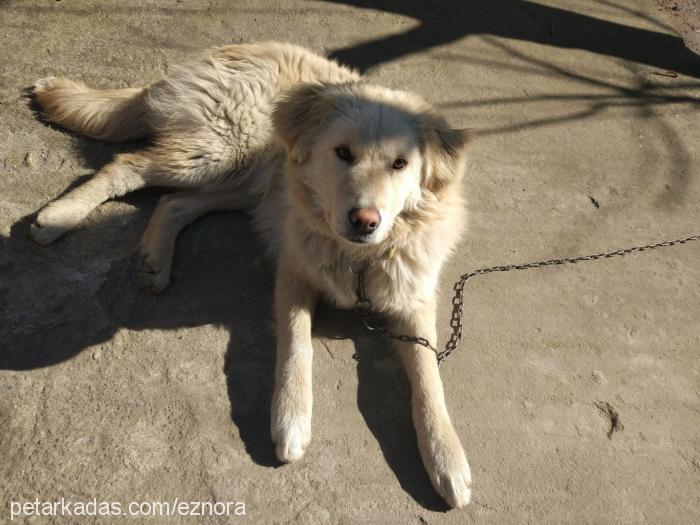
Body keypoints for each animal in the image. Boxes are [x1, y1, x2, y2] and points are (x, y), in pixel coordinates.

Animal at [30, 41, 474, 508]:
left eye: (400, 164)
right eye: (343, 153)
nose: (364, 221)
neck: (356, 257)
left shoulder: (414, 299)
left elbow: (429, 378)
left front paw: (446, 457)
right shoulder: (294, 272)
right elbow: (298, 346)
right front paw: (290, 420)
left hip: (253, 179)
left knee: (174, 202)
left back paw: (155, 258)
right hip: (221, 153)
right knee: (128, 166)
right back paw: (60, 216)